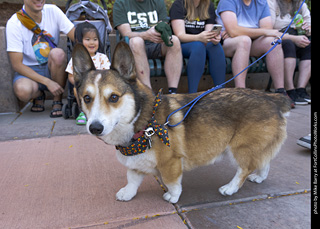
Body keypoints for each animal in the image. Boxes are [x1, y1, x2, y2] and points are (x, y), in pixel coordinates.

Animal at [71, 42, 292, 203]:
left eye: (114, 97)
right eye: (87, 98)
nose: (95, 128)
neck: (143, 122)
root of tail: (271, 97)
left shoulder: (171, 163)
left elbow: (172, 183)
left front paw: (172, 196)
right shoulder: (135, 163)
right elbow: (132, 179)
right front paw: (128, 193)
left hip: (240, 148)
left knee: (244, 169)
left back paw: (230, 188)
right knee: (264, 162)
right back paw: (260, 177)